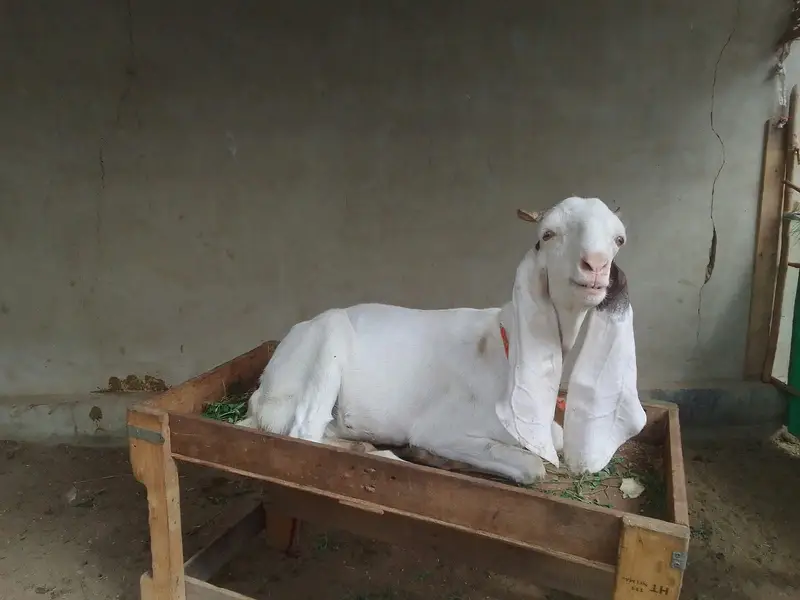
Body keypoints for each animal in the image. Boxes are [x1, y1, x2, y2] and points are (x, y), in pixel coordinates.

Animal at [239, 196, 646, 484]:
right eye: (547, 234)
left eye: (619, 239)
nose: (596, 266)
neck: (503, 345)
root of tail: (263, 391)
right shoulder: (441, 428)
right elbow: (533, 468)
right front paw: (434, 455)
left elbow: (558, 438)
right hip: (327, 343)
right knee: (303, 433)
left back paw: (370, 448)